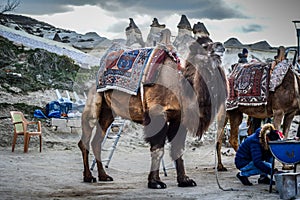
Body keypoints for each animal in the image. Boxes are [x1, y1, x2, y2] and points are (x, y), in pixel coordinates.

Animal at [78, 37, 229, 188]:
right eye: (204, 46)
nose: (220, 46)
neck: (181, 87)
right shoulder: (157, 114)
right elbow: (158, 149)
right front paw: (155, 182)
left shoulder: (179, 118)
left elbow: (178, 149)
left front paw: (185, 180)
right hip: (94, 100)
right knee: (86, 137)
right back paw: (88, 176)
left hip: (108, 111)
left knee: (97, 141)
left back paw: (104, 176)